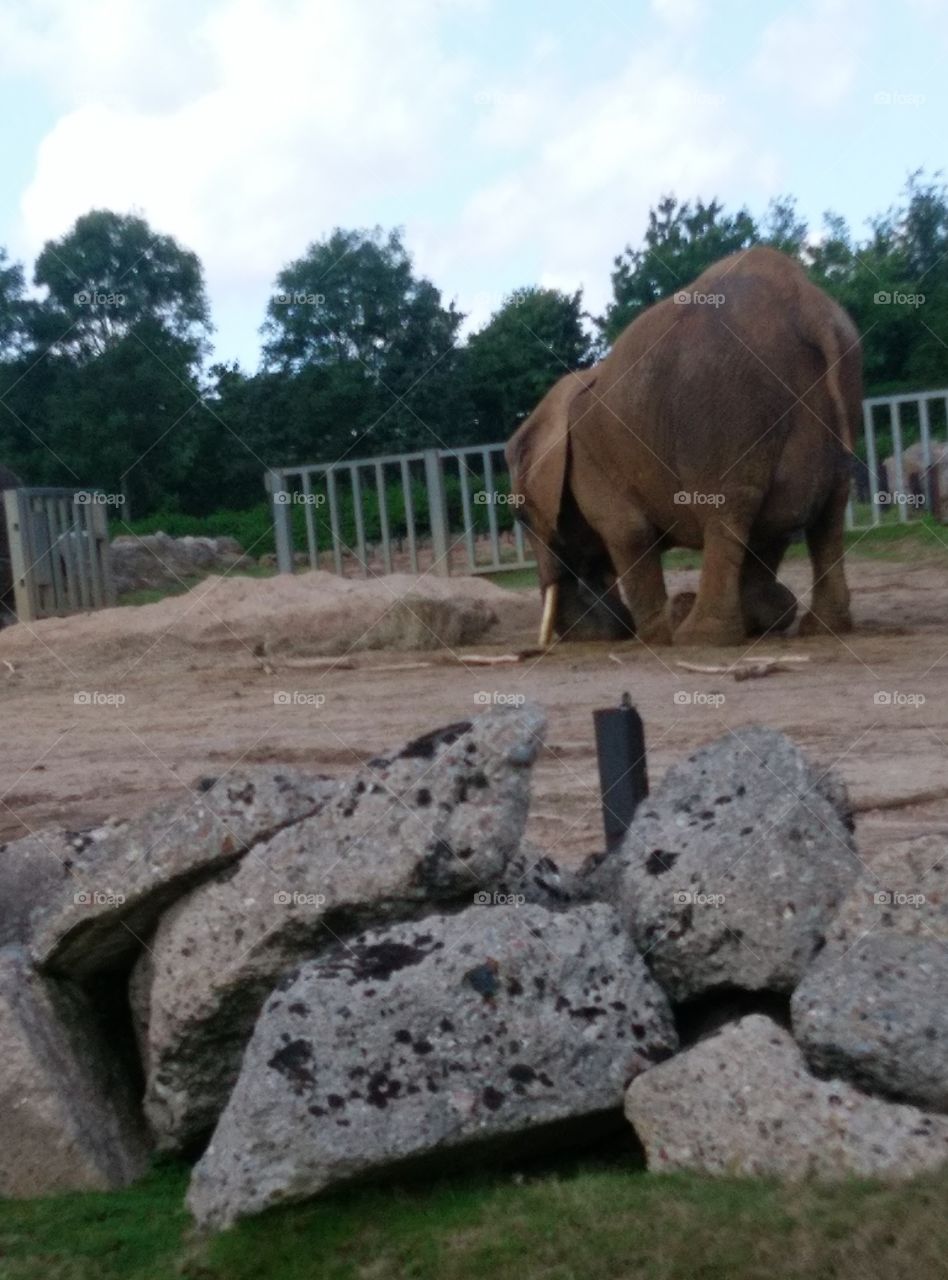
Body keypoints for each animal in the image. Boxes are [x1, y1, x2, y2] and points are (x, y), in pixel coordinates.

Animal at [506, 247, 862, 647]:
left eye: (520, 516)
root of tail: (803, 301)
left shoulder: (589, 463)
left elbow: (628, 531)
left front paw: (657, 634)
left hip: (724, 408)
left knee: (727, 515)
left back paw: (700, 636)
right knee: (825, 517)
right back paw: (820, 626)